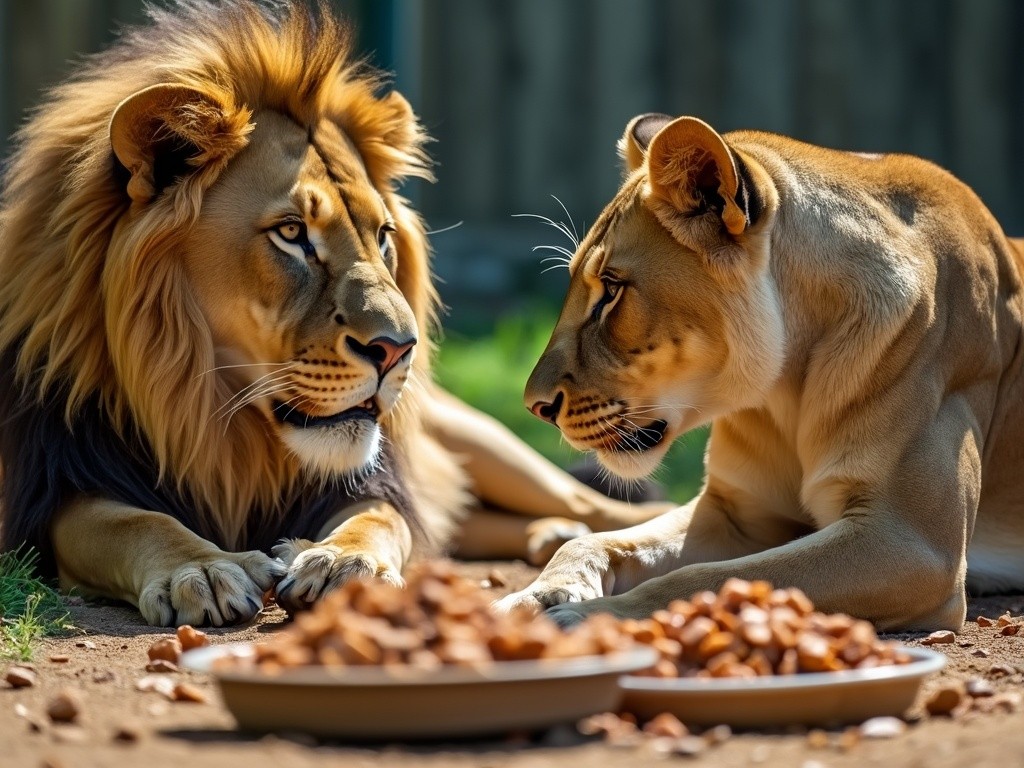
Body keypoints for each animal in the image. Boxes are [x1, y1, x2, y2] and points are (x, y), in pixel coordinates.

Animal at [0, 0, 663, 626]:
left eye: (383, 235)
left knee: (597, 502)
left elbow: (384, 520)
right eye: (292, 233)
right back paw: (549, 535)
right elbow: (133, 522)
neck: (217, 423)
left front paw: (341, 562)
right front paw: (204, 568)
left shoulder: (374, 477)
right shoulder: (57, 486)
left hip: (491, 446)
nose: (399, 350)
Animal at [499, 114, 1024, 630]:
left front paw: (589, 615)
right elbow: (600, 540)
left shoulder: (910, 544)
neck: (786, 390)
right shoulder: (736, 513)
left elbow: (707, 578)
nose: (535, 407)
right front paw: (537, 595)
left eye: (611, 289)